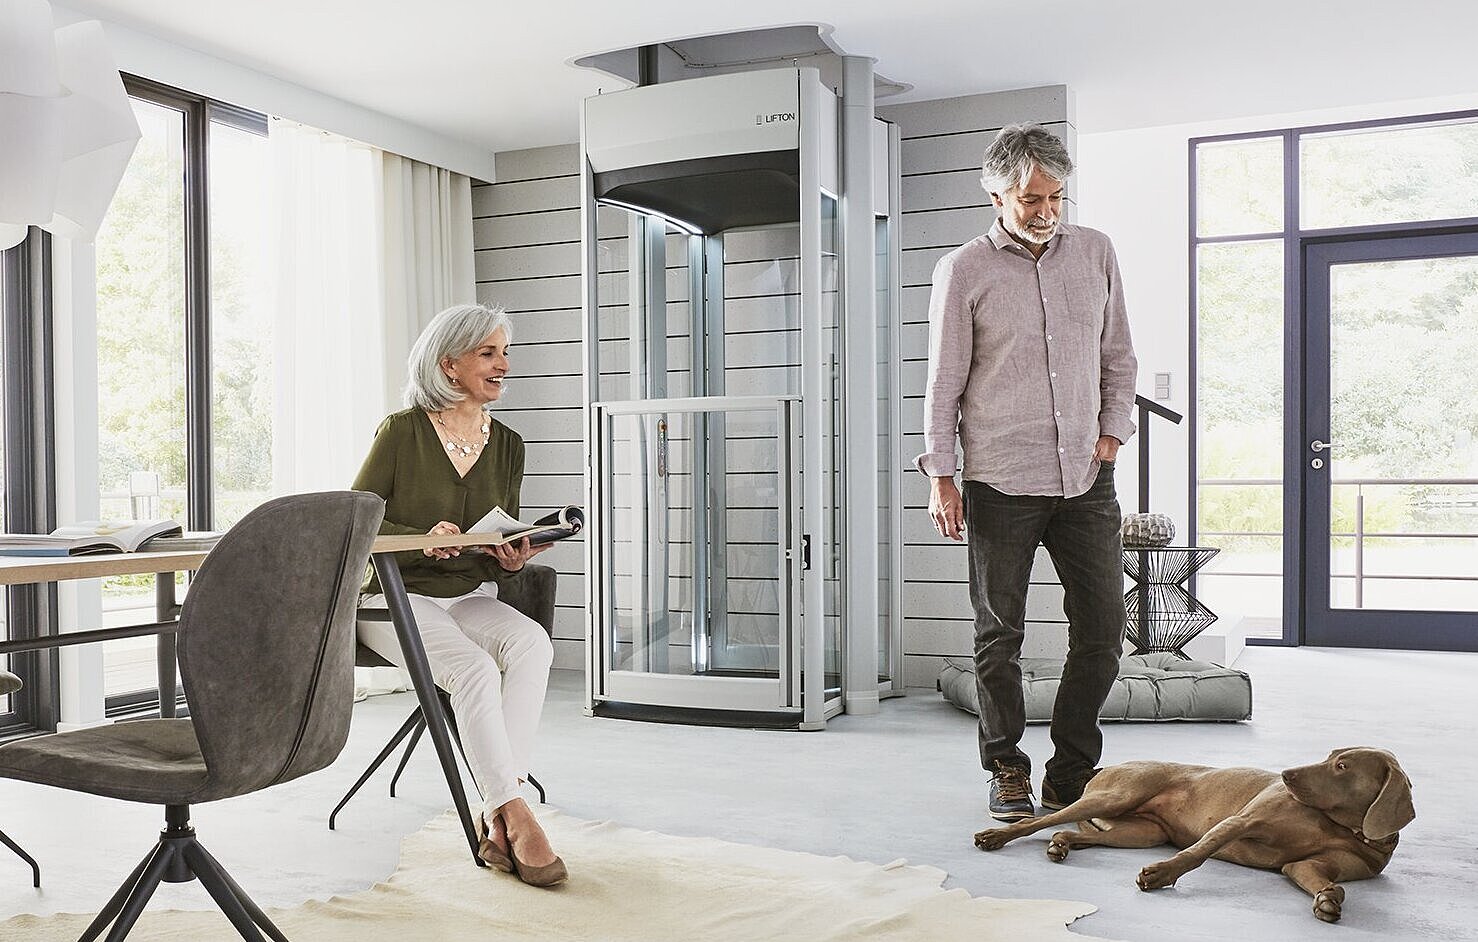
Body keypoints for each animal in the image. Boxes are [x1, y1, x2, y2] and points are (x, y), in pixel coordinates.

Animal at [975, 745, 1412, 922]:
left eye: (1342, 766)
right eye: (1331, 757)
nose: (1286, 775)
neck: (1345, 827)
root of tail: (1105, 770)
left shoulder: (1304, 866)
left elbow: (1324, 881)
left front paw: (1328, 900)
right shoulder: (1238, 822)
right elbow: (1196, 854)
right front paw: (1160, 875)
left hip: (1141, 833)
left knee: (1078, 834)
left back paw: (1062, 844)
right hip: (1118, 794)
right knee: (1035, 822)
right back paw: (996, 837)